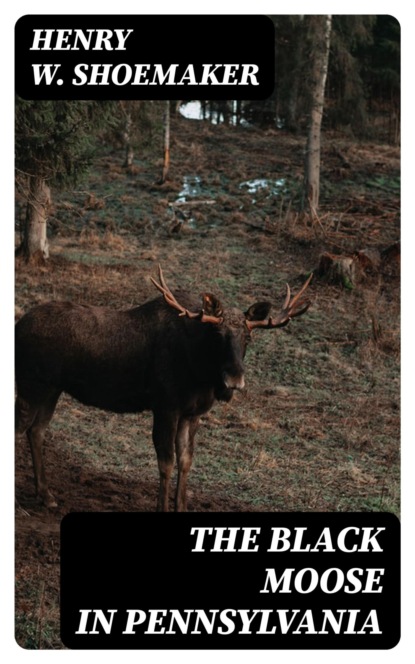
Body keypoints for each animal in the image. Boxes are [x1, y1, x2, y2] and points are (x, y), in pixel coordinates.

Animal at [15, 266, 312, 512]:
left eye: (248, 337)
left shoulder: (192, 413)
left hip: (52, 389)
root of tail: (17, 326)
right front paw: (163, 507)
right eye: (219, 336)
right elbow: (165, 461)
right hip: (31, 385)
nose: (234, 379)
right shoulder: (166, 406)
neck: (200, 373)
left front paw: (181, 507)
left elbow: (186, 460)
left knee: (37, 431)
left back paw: (46, 495)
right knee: (21, 428)